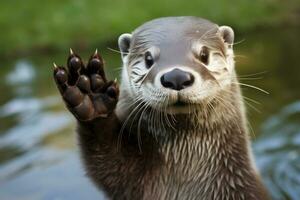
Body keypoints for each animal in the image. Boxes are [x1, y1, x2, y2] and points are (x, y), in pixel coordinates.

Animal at [53, 16, 270, 199]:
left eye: (204, 54)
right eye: (148, 58)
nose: (176, 76)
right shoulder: (135, 181)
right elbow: (109, 165)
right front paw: (90, 95)